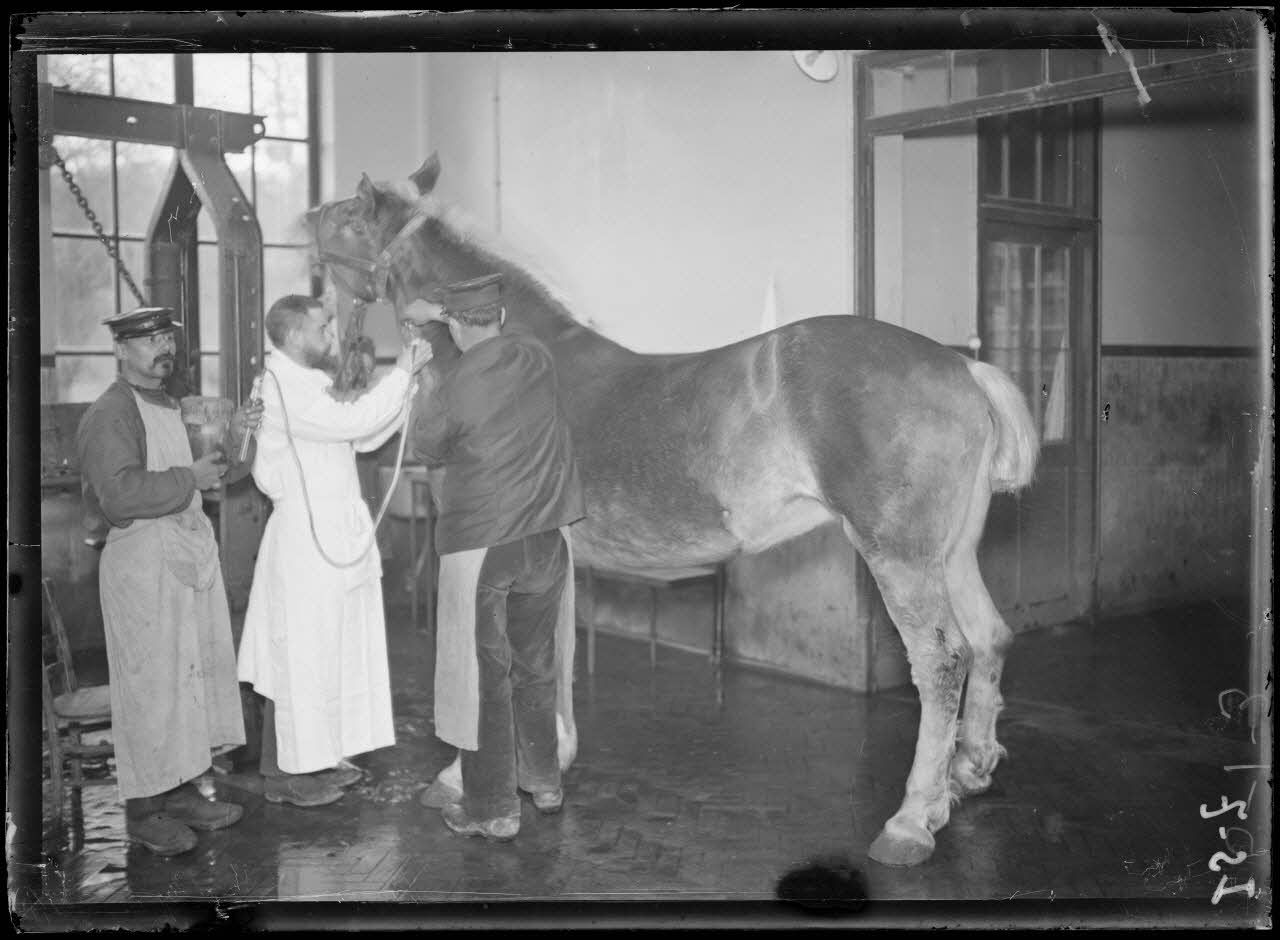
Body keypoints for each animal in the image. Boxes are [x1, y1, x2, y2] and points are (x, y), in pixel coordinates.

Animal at [307, 154, 1039, 870]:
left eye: (338, 224)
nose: (341, 362)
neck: (515, 353)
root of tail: (962, 369)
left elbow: (493, 666)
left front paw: (466, 779)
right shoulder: (559, 560)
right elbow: (553, 656)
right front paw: (551, 760)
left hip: (900, 558)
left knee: (940, 662)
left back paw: (912, 820)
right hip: (951, 556)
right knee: (988, 637)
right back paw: (966, 774)